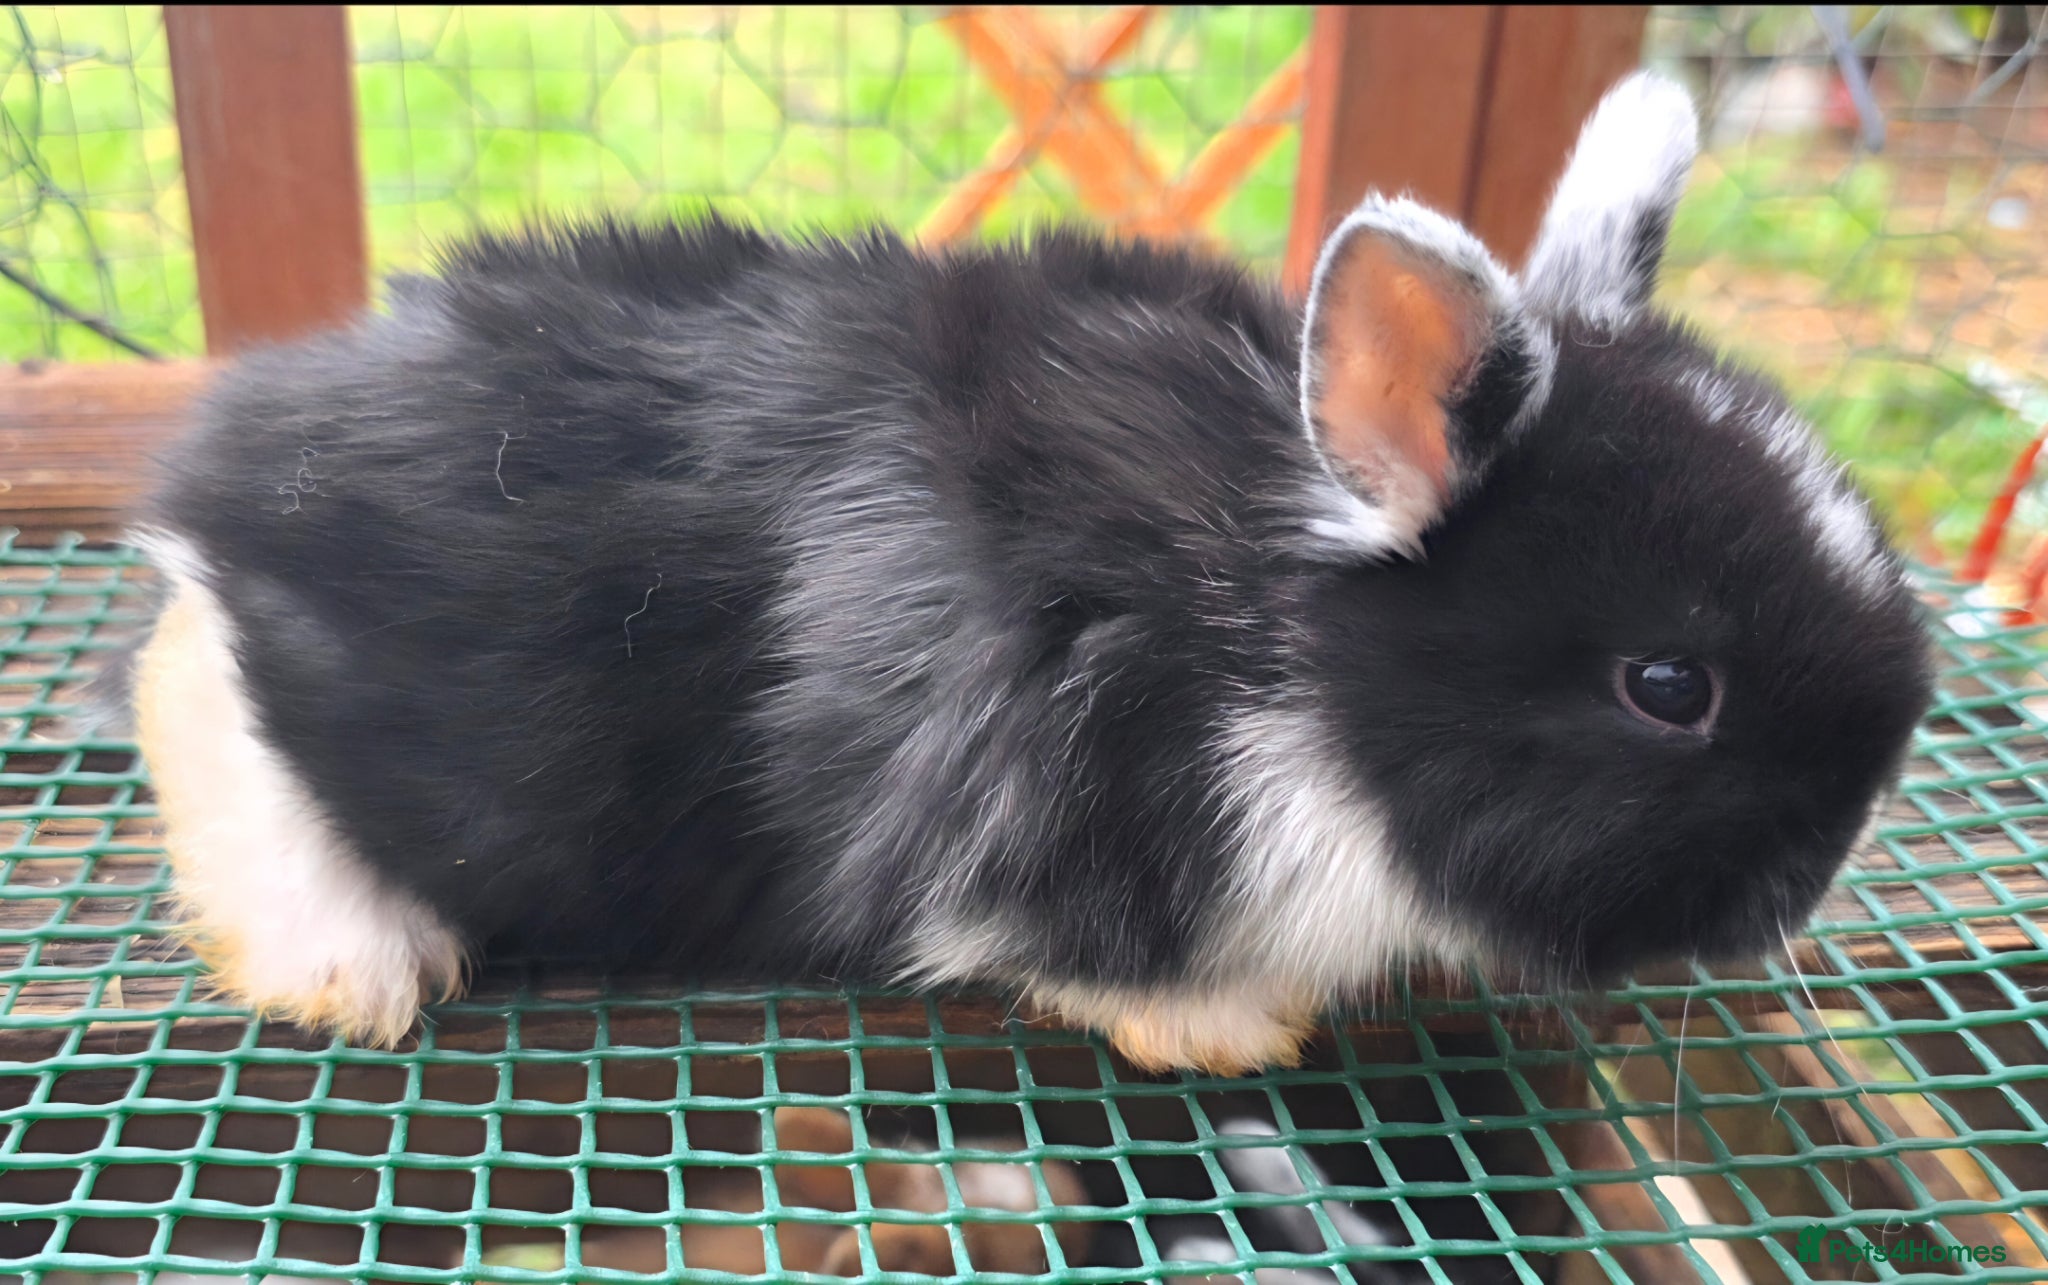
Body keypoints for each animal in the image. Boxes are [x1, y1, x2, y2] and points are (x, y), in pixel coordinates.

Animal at [124, 71, 1933, 1075]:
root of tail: (234, 463)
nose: (1830, 861)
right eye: (1669, 687)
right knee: (208, 711)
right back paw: (352, 971)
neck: (1276, 636)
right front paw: (1228, 1032)